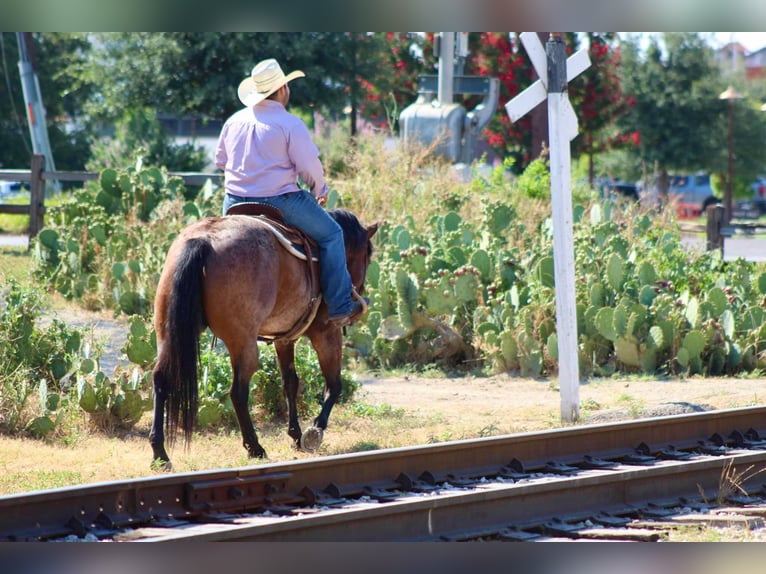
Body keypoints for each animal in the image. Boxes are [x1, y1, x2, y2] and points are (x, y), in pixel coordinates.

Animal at [148, 207, 379, 469]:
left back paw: (160, 453)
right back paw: (255, 447)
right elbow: (334, 385)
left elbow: (290, 383)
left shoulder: (284, 339)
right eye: (367, 257)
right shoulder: (326, 332)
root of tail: (203, 240)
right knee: (238, 392)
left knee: (161, 379)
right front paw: (314, 431)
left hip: (168, 333)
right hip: (243, 342)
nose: (358, 293)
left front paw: (296, 435)